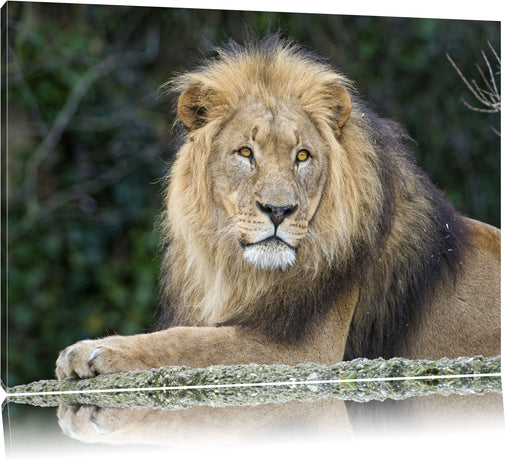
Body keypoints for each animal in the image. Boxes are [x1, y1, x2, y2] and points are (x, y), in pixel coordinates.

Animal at [56, 38, 500, 380]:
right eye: (245, 153)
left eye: (302, 156)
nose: (278, 210)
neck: (241, 273)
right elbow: (192, 334)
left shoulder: (304, 351)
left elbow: (189, 341)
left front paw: (94, 350)